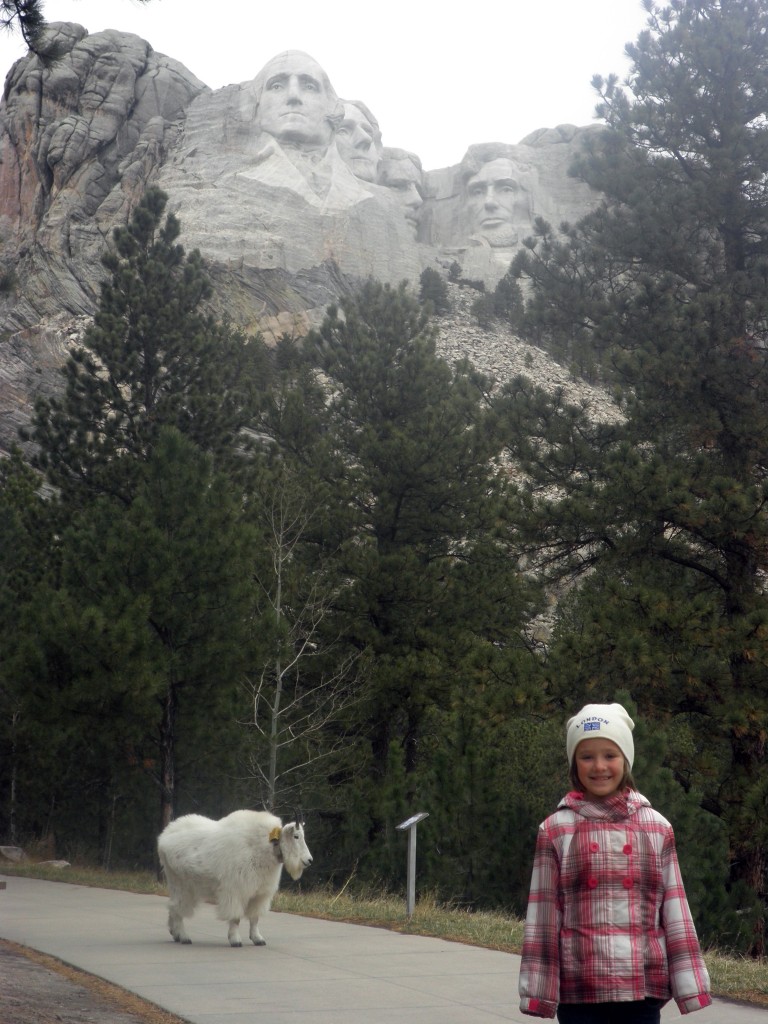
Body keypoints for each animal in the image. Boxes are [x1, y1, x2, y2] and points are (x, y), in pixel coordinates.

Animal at [156, 811, 313, 946]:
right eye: (296, 836)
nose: (309, 860)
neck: (265, 846)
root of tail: (164, 837)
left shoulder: (260, 894)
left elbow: (254, 918)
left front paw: (258, 939)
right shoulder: (236, 891)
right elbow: (236, 918)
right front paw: (235, 940)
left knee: (173, 907)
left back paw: (175, 933)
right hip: (181, 884)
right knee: (177, 908)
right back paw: (184, 937)